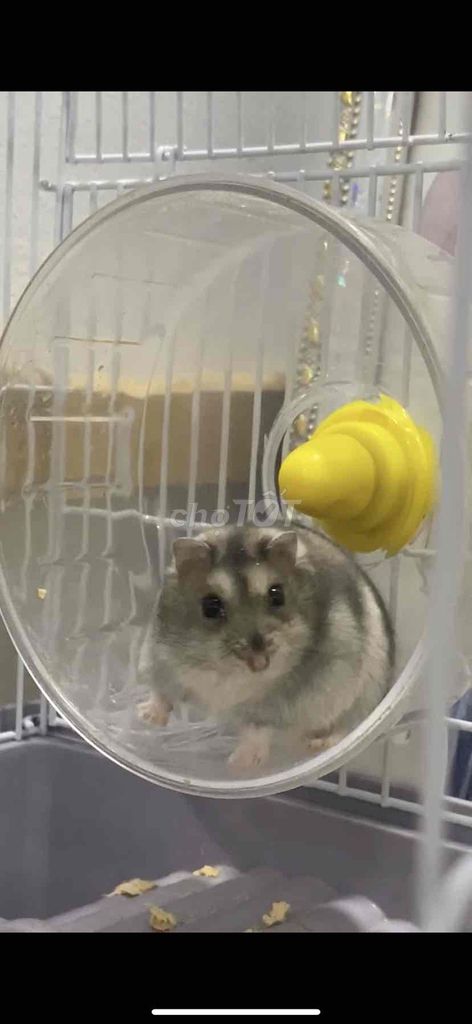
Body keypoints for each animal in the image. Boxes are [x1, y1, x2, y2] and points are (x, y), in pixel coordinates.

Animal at [137, 524, 395, 773]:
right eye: (210, 606)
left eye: (277, 595)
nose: (260, 664)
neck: (227, 672)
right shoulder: (161, 660)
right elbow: (161, 694)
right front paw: (145, 716)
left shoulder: (275, 705)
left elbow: (257, 728)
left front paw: (238, 764)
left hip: (365, 696)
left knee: (347, 726)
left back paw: (316, 745)